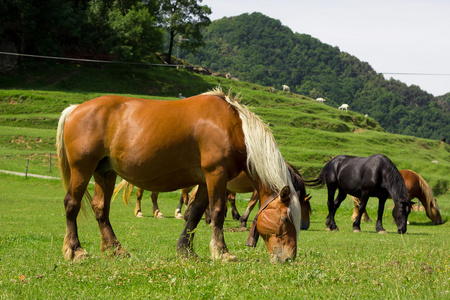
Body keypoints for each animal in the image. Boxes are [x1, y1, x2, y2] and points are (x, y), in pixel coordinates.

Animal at [57, 87, 302, 262]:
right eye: (284, 218)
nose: (289, 257)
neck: (232, 126)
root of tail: (75, 108)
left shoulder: (205, 180)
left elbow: (195, 213)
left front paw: (186, 250)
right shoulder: (216, 174)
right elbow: (217, 211)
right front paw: (221, 252)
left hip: (105, 173)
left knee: (101, 209)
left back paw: (115, 249)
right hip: (82, 169)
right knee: (71, 205)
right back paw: (75, 250)